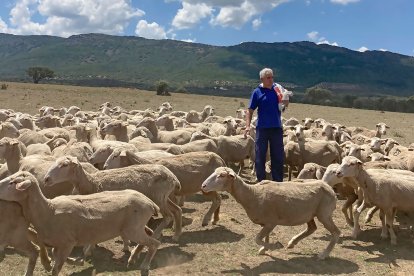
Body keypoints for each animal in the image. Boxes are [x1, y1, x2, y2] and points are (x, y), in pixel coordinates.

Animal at [0, 171, 160, 276]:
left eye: (12, 183)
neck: (48, 210)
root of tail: (150, 203)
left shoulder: (67, 243)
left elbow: (56, 269)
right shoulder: (58, 244)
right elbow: (57, 258)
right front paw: (77, 261)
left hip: (132, 230)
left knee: (155, 243)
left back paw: (144, 267)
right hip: (136, 226)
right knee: (150, 234)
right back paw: (133, 257)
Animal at [43, 157, 183, 242]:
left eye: (64, 165)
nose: (46, 179)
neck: (92, 182)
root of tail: (173, 177)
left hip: (159, 197)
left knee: (168, 216)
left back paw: (155, 235)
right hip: (164, 197)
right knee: (177, 210)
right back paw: (176, 235)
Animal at [201, 167, 340, 260]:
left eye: (222, 175)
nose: (203, 186)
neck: (252, 194)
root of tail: (329, 187)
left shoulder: (271, 222)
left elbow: (257, 239)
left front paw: (274, 246)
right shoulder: (266, 223)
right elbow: (264, 237)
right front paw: (265, 249)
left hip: (324, 214)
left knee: (336, 232)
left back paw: (324, 254)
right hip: (309, 214)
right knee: (312, 228)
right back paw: (292, 243)